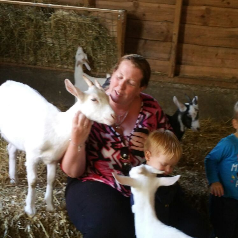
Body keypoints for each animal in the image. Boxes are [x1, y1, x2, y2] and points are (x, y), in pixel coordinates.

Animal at [0, 76, 115, 216]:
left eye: (108, 98)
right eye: (94, 99)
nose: (113, 116)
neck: (57, 128)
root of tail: (7, 82)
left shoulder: (53, 159)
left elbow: (51, 179)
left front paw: (50, 206)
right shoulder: (32, 155)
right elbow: (32, 181)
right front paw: (30, 209)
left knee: (11, 149)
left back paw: (13, 178)